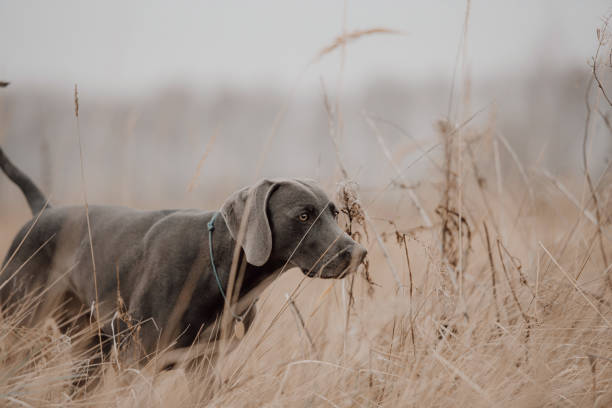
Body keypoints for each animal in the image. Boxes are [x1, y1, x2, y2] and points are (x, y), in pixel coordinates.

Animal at [0, 146, 366, 360]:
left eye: (334, 214)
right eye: (303, 216)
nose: (359, 253)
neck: (216, 270)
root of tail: (43, 211)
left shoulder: (205, 364)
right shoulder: (136, 358)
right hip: (17, 319)